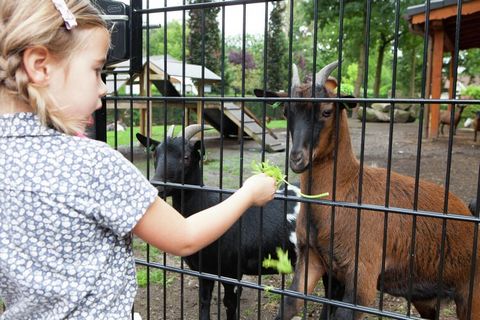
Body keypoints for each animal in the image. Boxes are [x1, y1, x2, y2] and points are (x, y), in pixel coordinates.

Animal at [135, 127, 298, 320]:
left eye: (186, 157)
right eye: (155, 154)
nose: (157, 186)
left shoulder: (231, 272)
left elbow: (230, 304)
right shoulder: (204, 271)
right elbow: (204, 301)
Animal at [253, 61, 478, 318]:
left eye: (327, 111)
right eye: (285, 112)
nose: (297, 158)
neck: (347, 189)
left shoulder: (363, 277)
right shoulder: (314, 258)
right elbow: (291, 304)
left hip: (471, 291)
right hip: (424, 296)